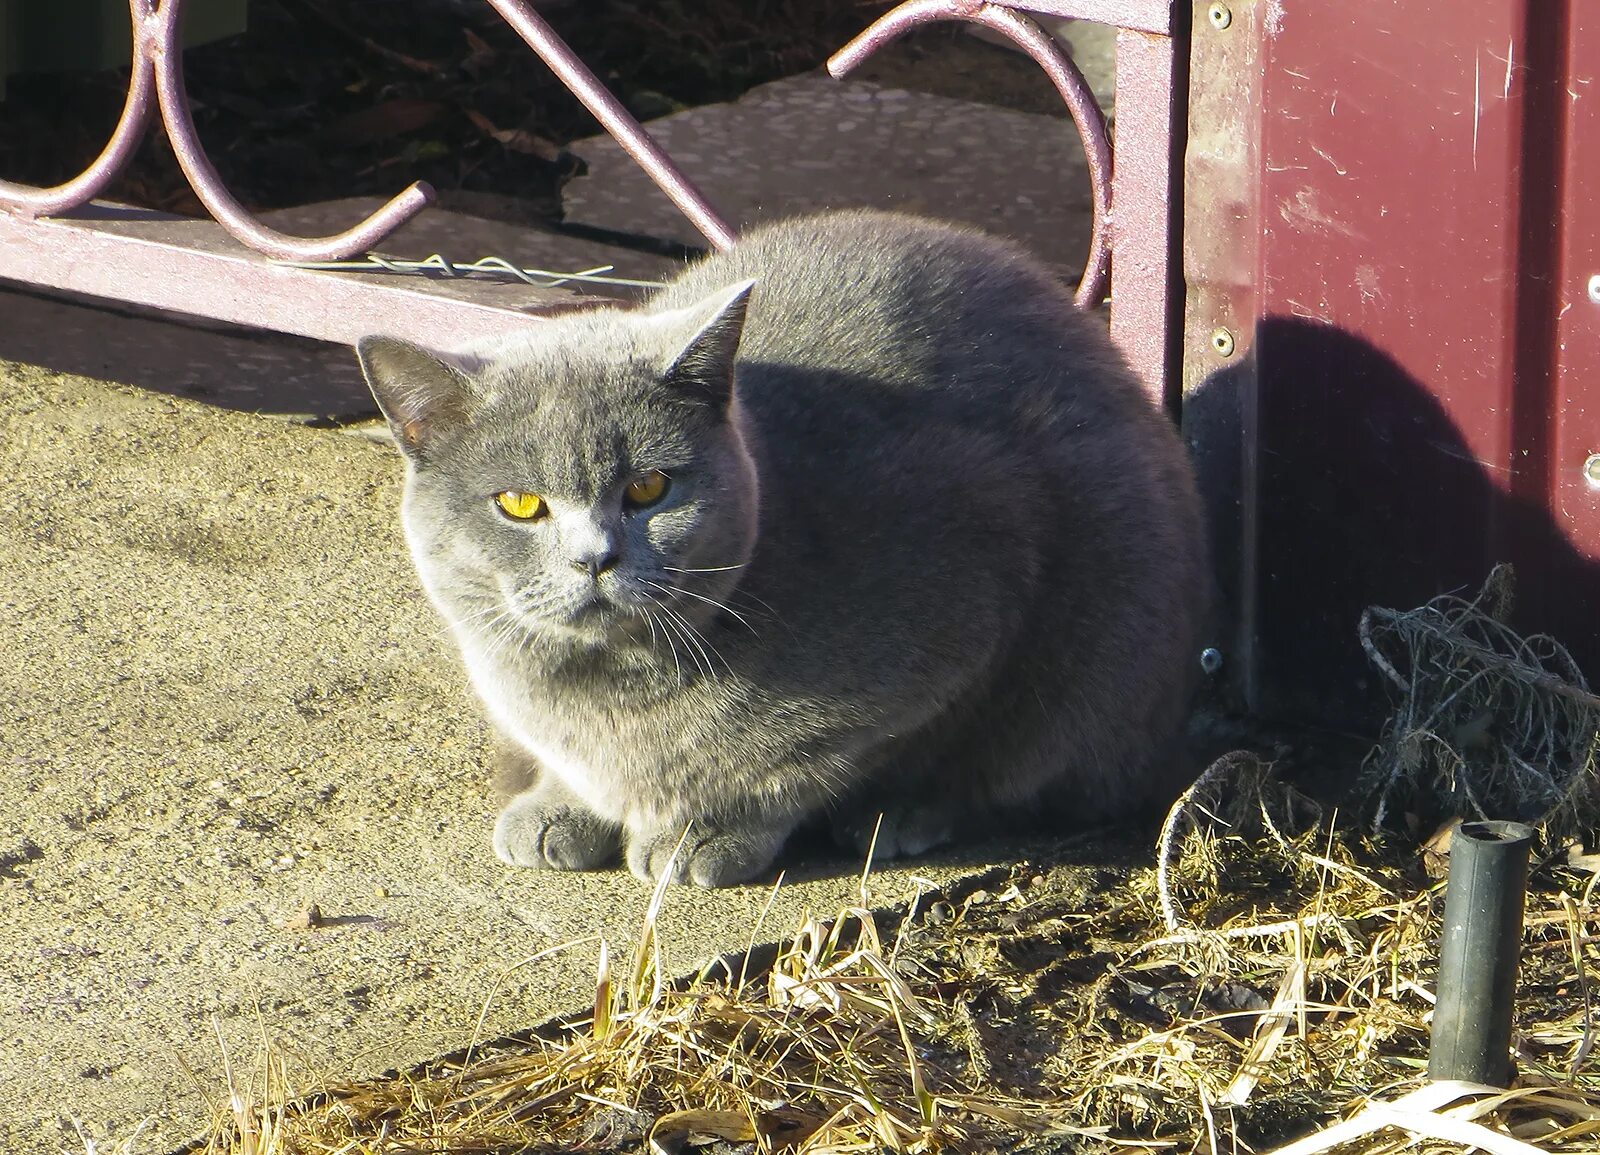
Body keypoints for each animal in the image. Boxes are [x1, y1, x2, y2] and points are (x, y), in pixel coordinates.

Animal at [356, 211, 1203, 889]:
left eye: (649, 487)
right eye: (520, 503)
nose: (595, 557)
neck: (608, 688)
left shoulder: (975, 589)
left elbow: (804, 764)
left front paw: (705, 831)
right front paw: (557, 807)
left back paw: (900, 814)